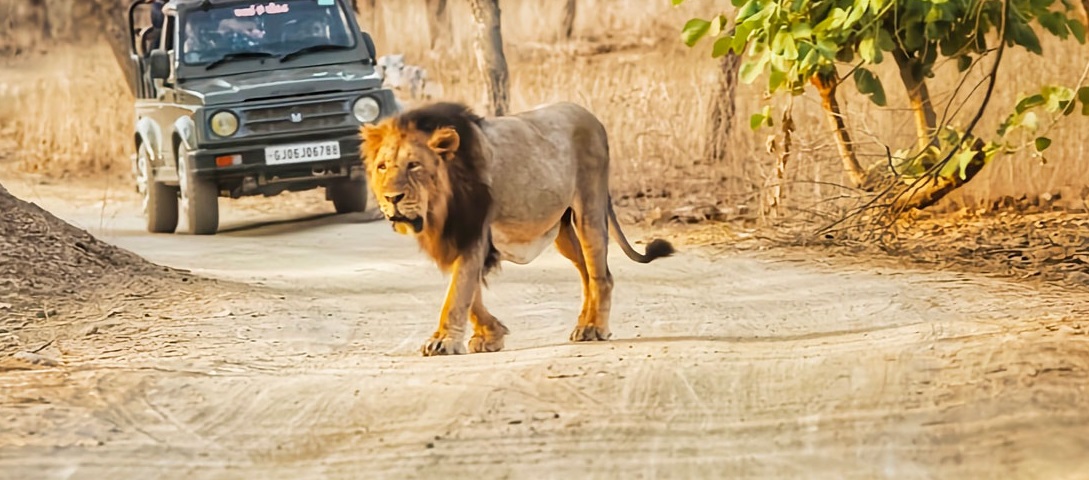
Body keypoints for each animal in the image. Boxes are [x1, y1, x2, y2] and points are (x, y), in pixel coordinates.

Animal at [359, 101, 670, 354]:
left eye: (413, 165)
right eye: (382, 166)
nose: (392, 198)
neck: (438, 208)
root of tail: (591, 116)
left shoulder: (473, 232)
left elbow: (458, 293)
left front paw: (443, 341)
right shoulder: (455, 237)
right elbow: (470, 295)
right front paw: (490, 335)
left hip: (589, 210)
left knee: (600, 276)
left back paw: (597, 328)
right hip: (562, 230)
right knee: (588, 274)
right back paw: (584, 325)